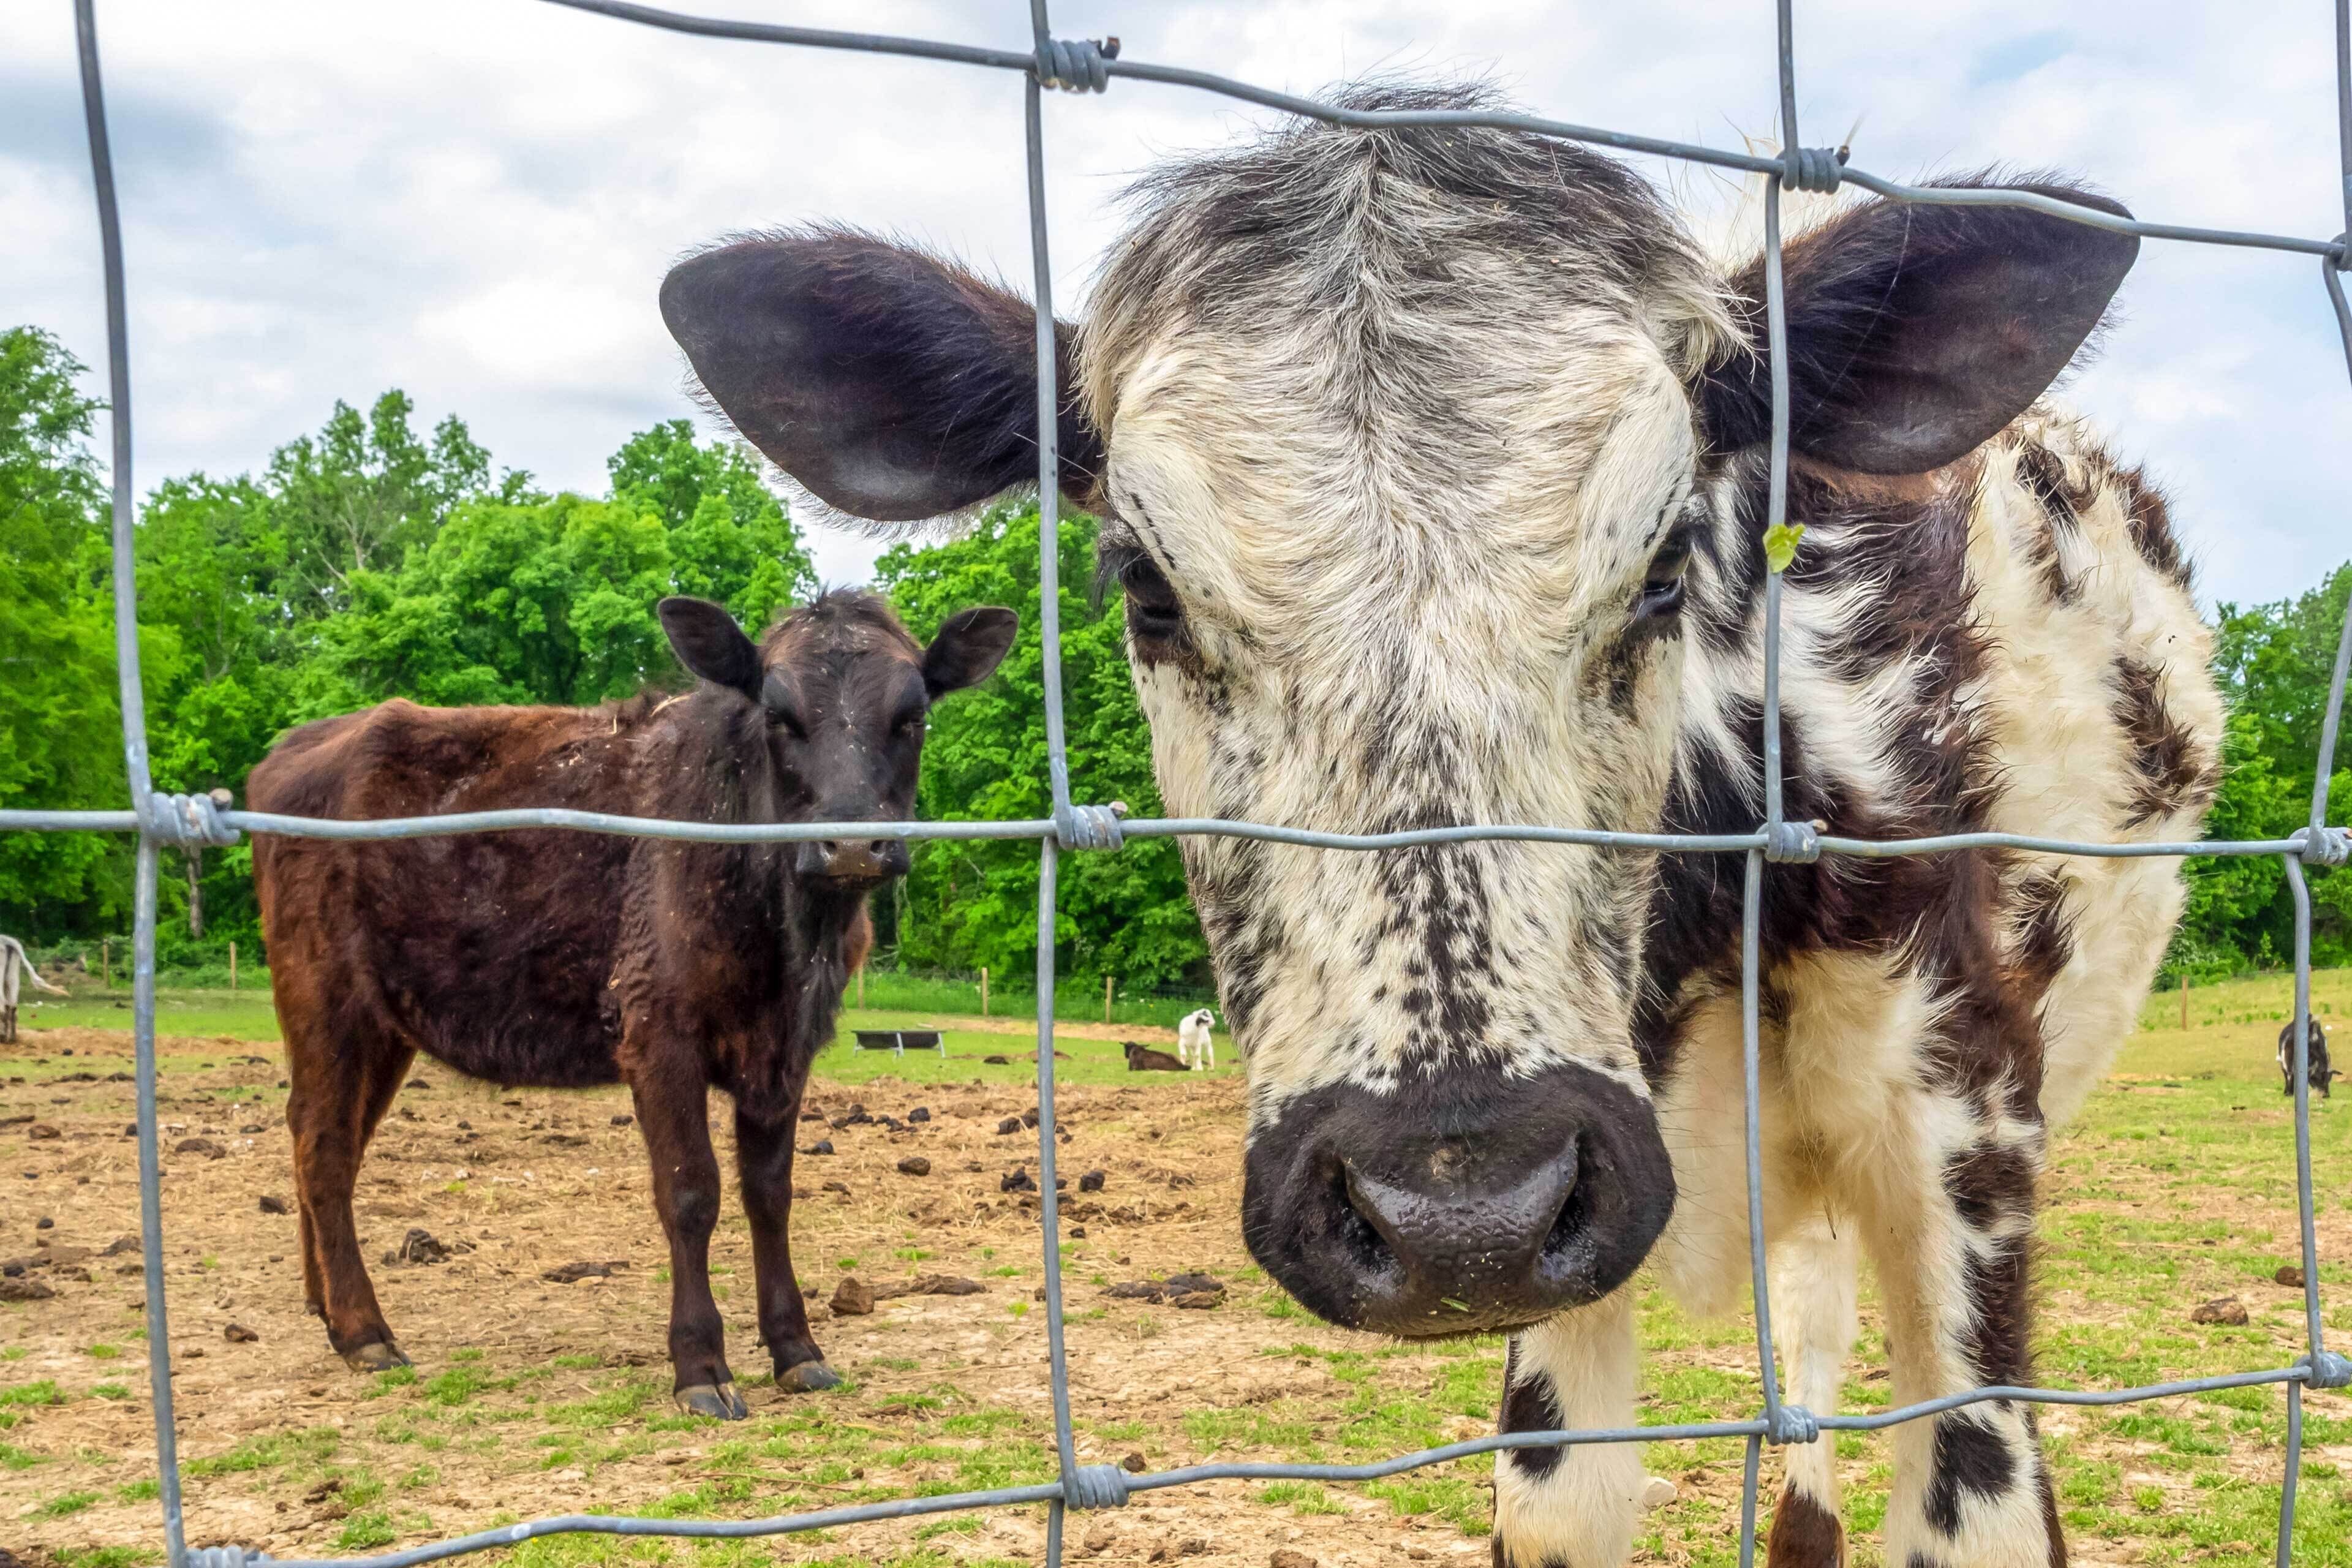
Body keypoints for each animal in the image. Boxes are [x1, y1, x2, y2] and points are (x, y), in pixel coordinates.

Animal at [0, 935, 69, 1044]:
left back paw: (3, 1038)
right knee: (12, 1007)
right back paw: (12, 1039)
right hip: (13, 977)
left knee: (3, 1006)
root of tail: (6, 940)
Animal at [248, 590, 1016, 1417]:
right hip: (326, 1000)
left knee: (329, 1139)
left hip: (388, 1023)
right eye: (778, 715)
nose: (850, 845)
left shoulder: (786, 1049)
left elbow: (770, 1193)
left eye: (913, 715)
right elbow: (691, 1191)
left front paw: (797, 1349)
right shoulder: (658, 1033)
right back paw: (365, 1330)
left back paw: (327, 1307)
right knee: (324, 1146)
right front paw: (701, 1365)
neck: (785, 932)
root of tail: (298, 746)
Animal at [655, 85, 2226, 1566]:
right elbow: (1560, 1501)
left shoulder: (1966, 1130)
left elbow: (1981, 1500)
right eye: (1145, 587)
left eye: (1667, 562)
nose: (1454, 1209)